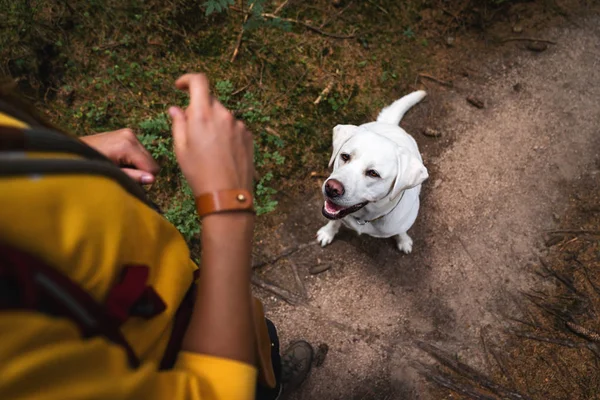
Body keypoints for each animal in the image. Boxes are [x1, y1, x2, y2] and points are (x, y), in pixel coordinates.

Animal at [316, 91, 428, 253]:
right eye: (345, 156)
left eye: (373, 173)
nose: (331, 188)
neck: (366, 218)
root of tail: (390, 125)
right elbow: (334, 222)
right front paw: (327, 232)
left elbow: (401, 231)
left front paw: (403, 240)